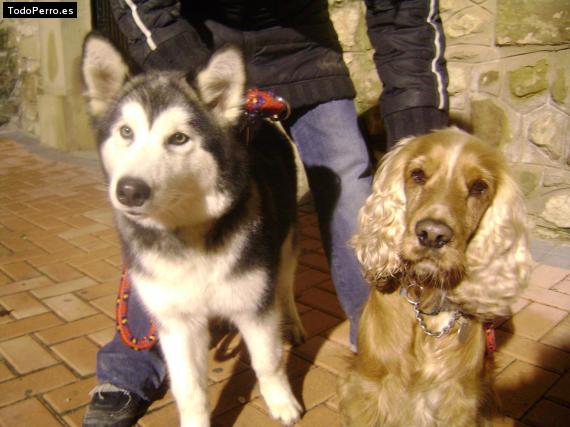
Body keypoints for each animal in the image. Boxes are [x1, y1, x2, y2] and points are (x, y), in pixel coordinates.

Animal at [80, 34, 304, 427]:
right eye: (126, 132)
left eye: (179, 138)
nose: (129, 190)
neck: (186, 237)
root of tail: (254, 114)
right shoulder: (176, 322)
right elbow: (189, 390)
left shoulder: (254, 308)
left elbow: (268, 361)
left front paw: (281, 402)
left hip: (286, 241)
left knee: (285, 283)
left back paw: (291, 320)